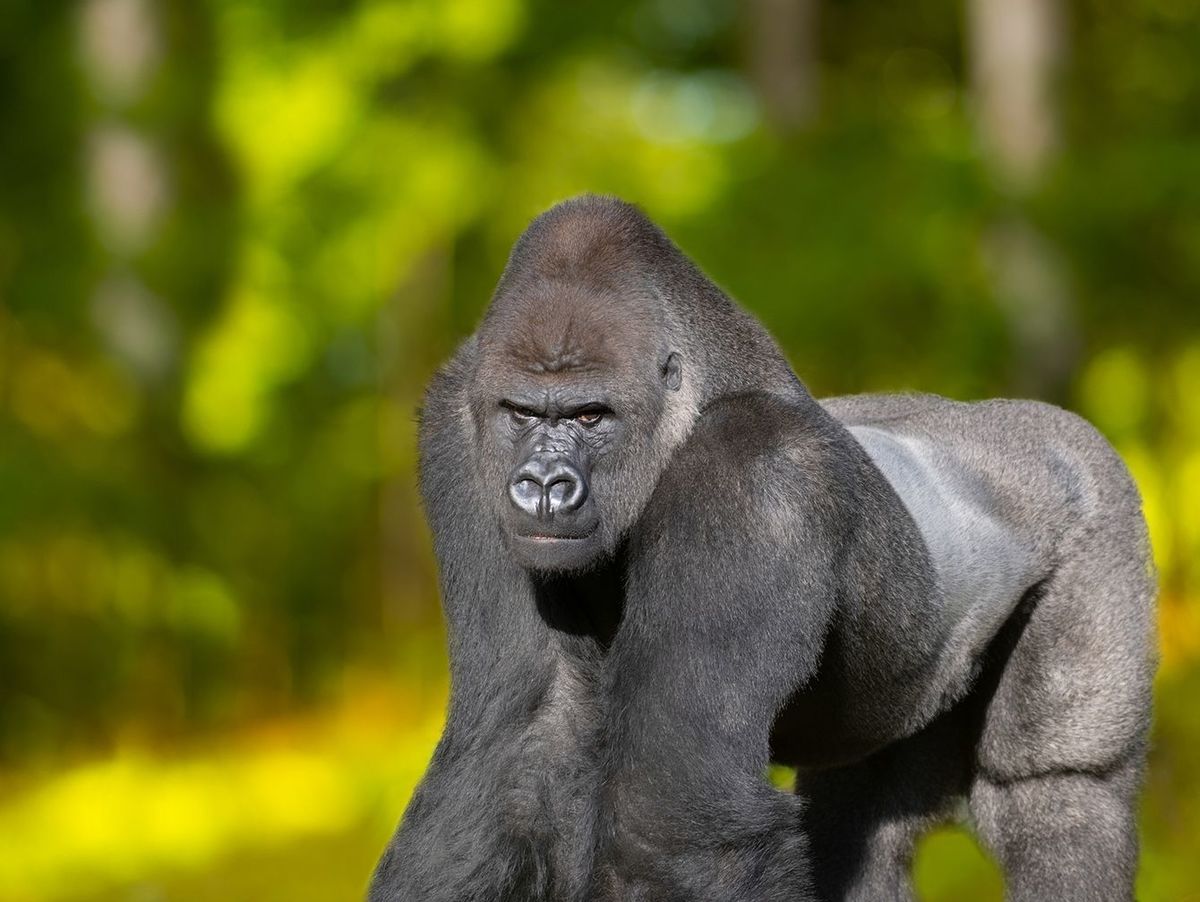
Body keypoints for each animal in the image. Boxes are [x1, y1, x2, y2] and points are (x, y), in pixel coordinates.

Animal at [369, 195, 1156, 902]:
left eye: (591, 416)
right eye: (520, 413)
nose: (542, 487)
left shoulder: (752, 476)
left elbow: (678, 812)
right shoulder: (457, 420)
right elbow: (525, 740)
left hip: (1103, 506)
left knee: (1057, 789)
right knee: (859, 821)